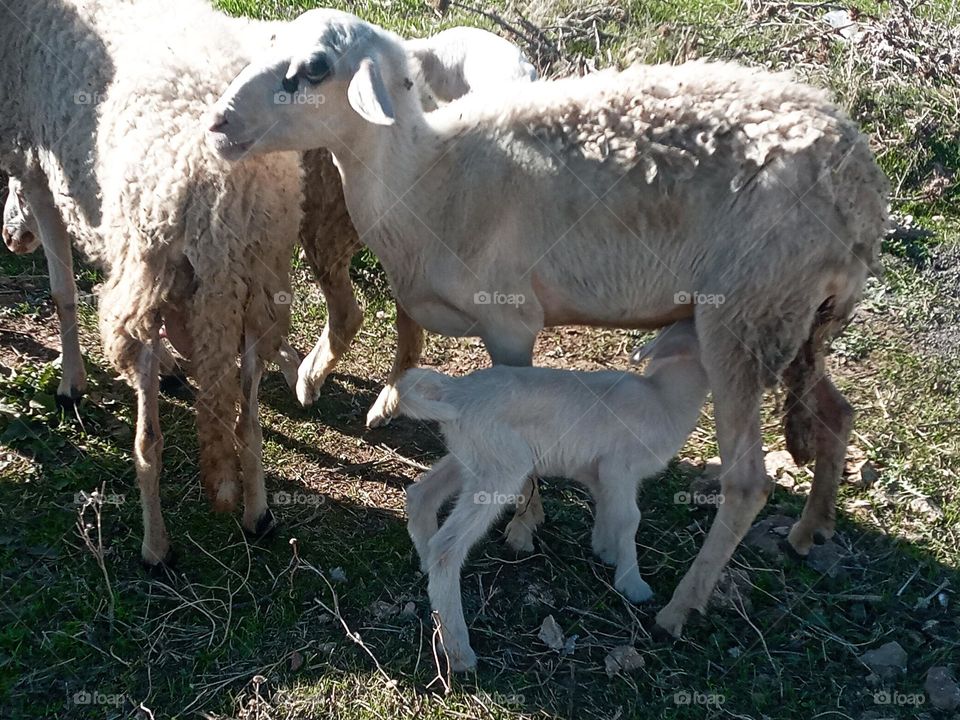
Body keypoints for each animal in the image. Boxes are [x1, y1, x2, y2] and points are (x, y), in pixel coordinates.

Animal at [399, 320, 709, 670]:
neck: (663, 398)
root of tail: (455, 392)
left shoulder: (599, 472)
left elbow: (607, 509)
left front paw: (605, 550)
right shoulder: (619, 467)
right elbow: (630, 519)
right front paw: (633, 584)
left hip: (474, 457)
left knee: (421, 494)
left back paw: (427, 572)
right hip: (502, 467)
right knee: (447, 546)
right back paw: (459, 652)